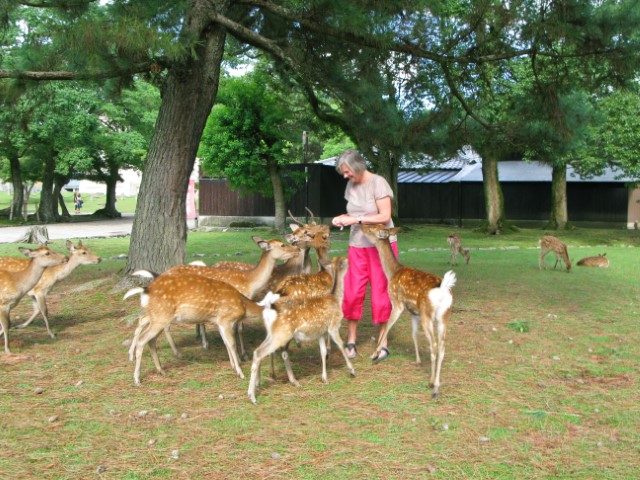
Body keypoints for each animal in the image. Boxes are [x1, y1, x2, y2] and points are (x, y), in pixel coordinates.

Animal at [122, 270, 264, 386]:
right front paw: (240, 373)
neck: (244, 306)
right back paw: (137, 379)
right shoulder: (226, 320)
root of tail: (145, 291)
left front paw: (233, 366)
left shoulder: (219, 322)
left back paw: (161, 370)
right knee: (142, 339)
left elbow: (226, 343)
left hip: (157, 317)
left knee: (149, 335)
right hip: (161, 317)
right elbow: (232, 344)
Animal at [248, 256, 356, 404]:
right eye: (343, 261)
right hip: (282, 334)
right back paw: (253, 396)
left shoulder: (320, 332)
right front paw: (352, 370)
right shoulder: (333, 326)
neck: (336, 299)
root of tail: (270, 307)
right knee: (263, 352)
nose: (349, 259)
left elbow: (323, 352)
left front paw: (324, 378)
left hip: (273, 333)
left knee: (260, 351)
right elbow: (341, 345)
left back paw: (260, 385)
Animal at [360, 224, 456, 398]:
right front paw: (417, 361)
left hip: (427, 315)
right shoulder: (413, 312)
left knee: (434, 346)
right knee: (442, 347)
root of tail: (444, 289)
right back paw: (436, 384)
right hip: (444, 316)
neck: (392, 272)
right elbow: (414, 334)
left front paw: (375, 354)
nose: (360, 224)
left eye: (371, 228)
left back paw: (432, 385)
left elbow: (387, 326)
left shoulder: (397, 302)